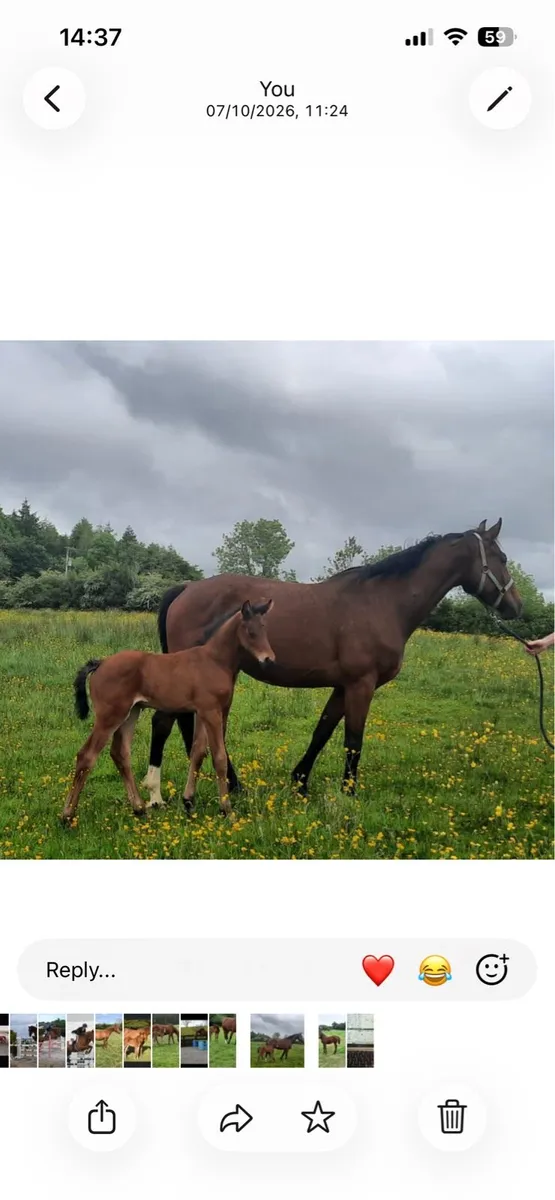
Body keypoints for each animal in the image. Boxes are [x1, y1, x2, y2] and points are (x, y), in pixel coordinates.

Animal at [63, 598, 275, 823]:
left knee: (120, 753)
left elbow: (198, 752)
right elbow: (219, 758)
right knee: (86, 755)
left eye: (264, 628)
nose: (269, 659)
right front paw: (227, 810)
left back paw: (139, 808)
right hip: (110, 716)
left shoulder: (208, 712)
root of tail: (101, 663)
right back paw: (67, 816)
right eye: (250, 631)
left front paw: (189, 802)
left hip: (131, 712)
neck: (215, 661)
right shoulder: (211, 712)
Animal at [143, 520, 521, 804]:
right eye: (502, 557)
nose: (516, 607)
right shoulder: (362, 684)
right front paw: (348, 792)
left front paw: (300, 782)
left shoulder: (343, 685)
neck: (382, 602)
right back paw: (229, 786)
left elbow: (322, 731)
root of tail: (186, 588)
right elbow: (353, 741)